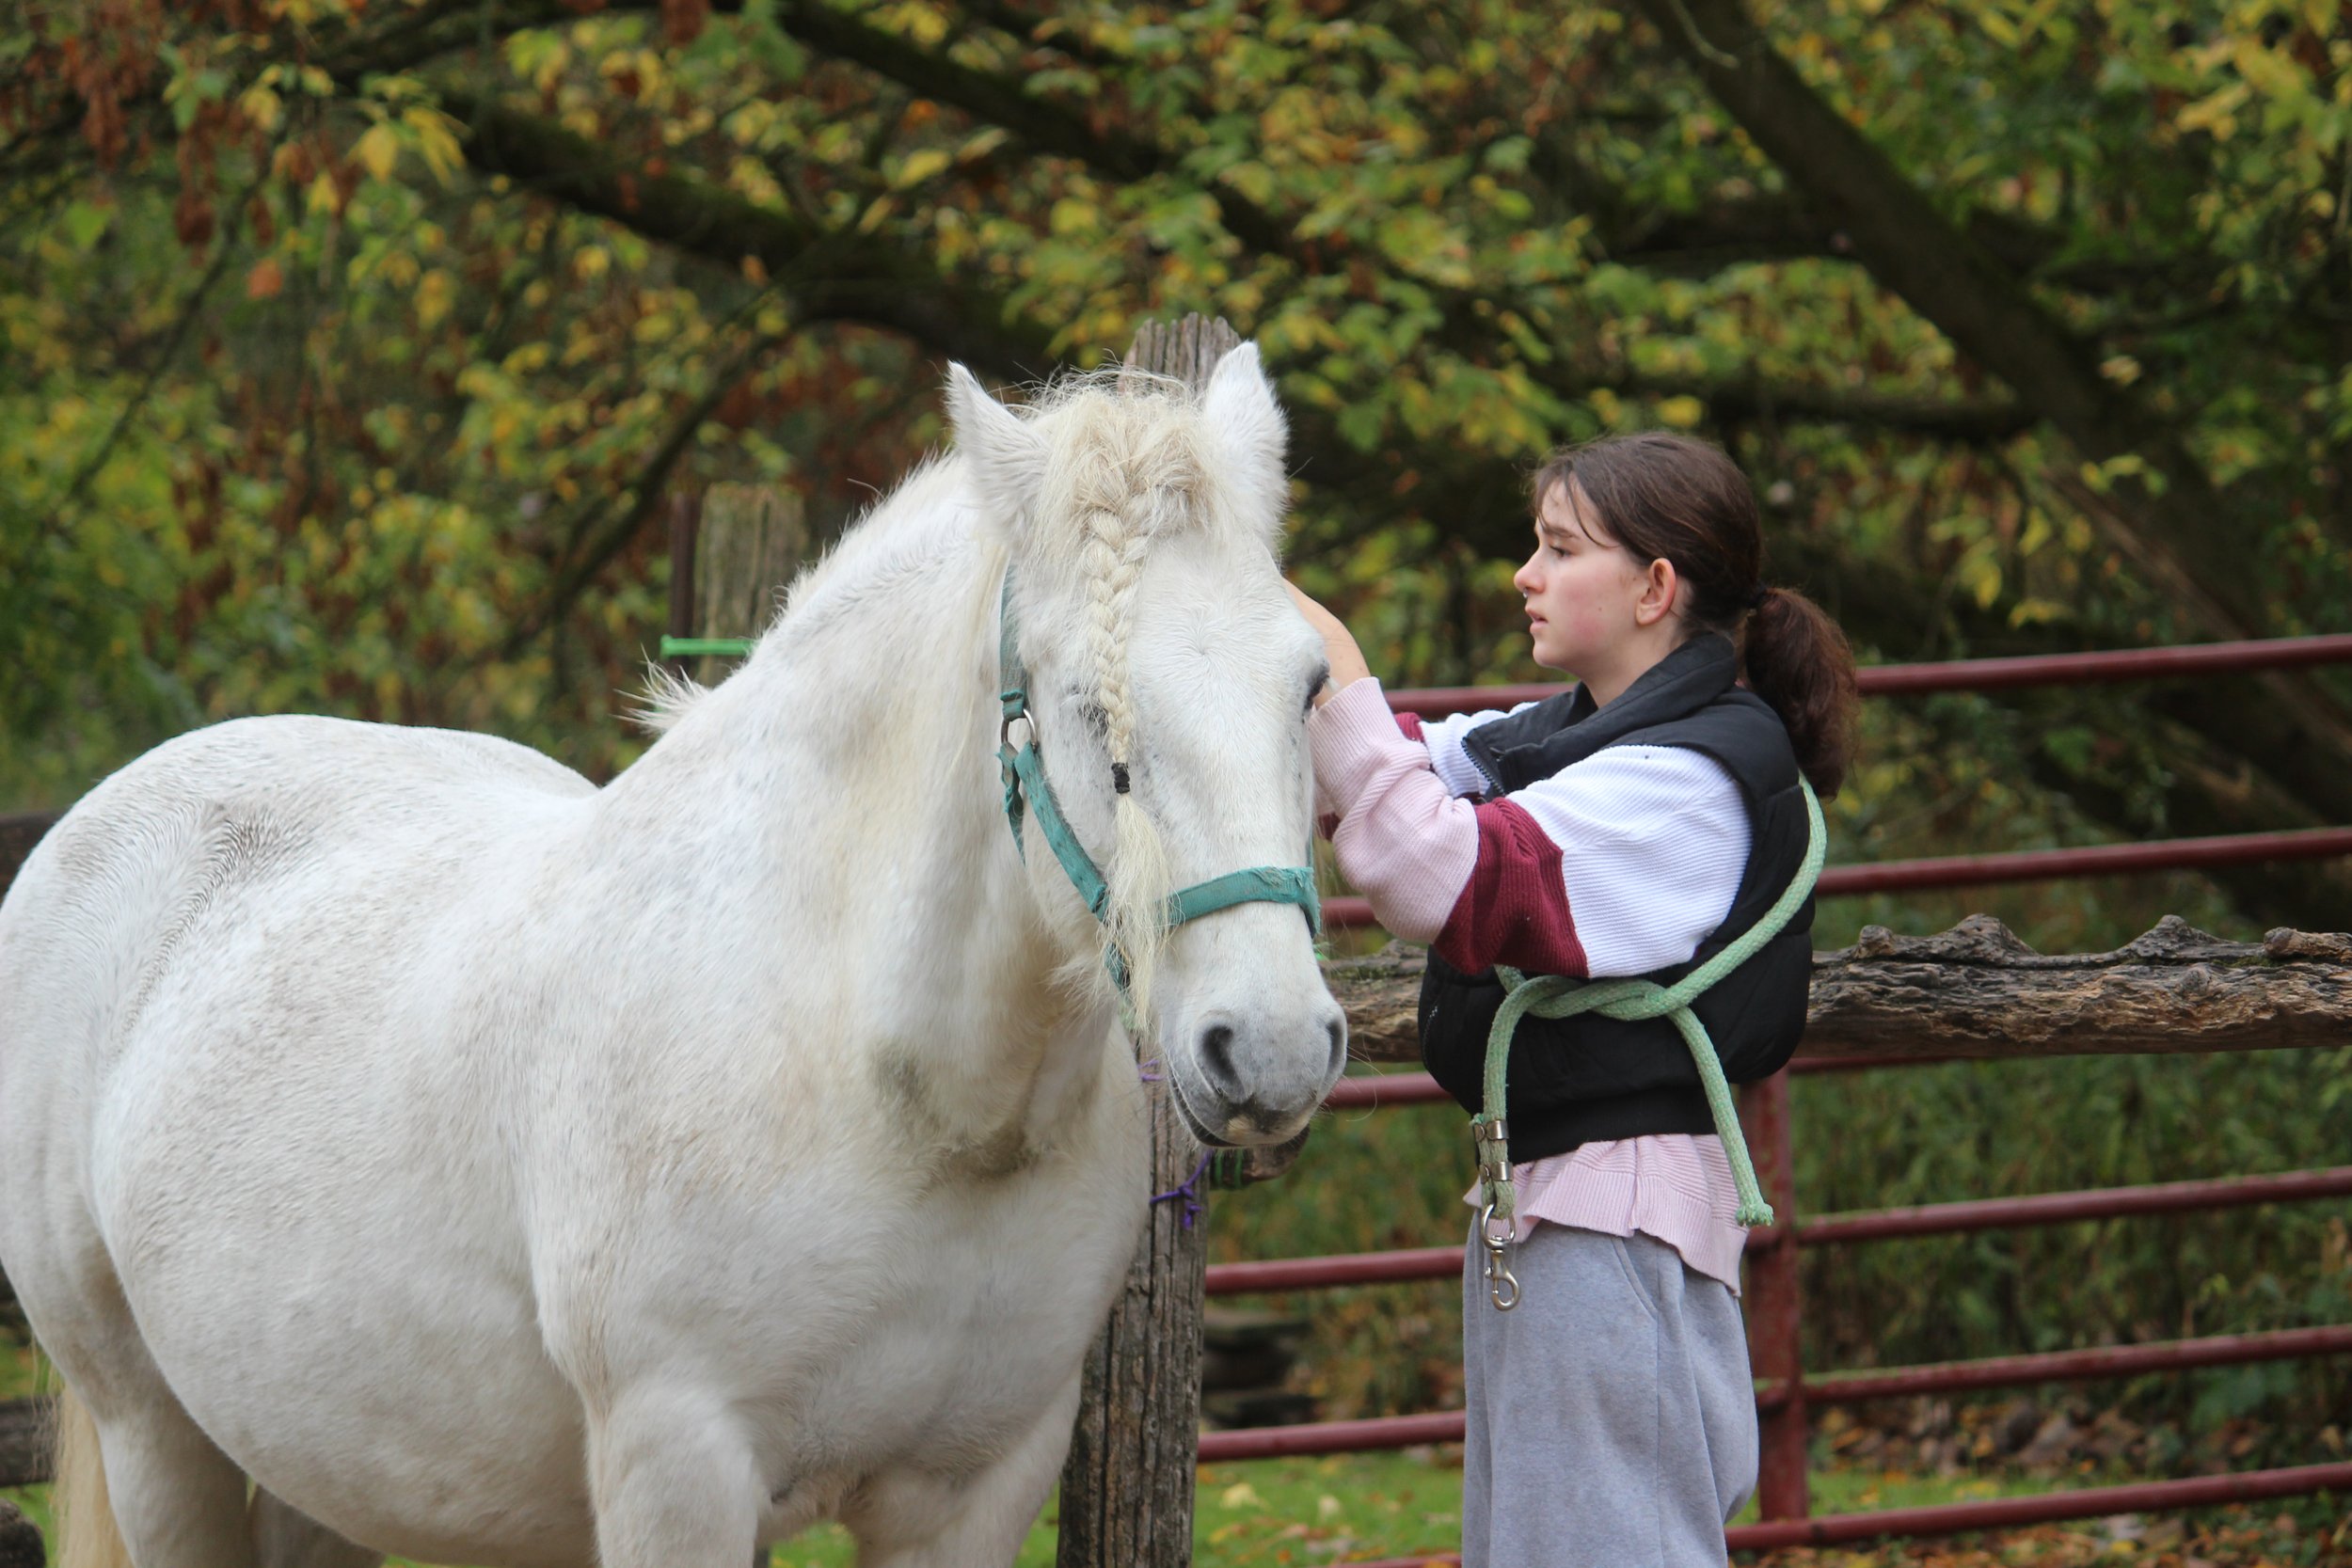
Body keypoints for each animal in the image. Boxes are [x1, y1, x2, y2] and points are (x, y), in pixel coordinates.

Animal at [0, 345, 1345, 1568]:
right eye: (1085, 704)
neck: (900, 1098)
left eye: (1308, 684)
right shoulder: (677, 1464)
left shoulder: (979, 1488)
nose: (1272, 1047)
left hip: (320, 1458)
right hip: (152, 1435)